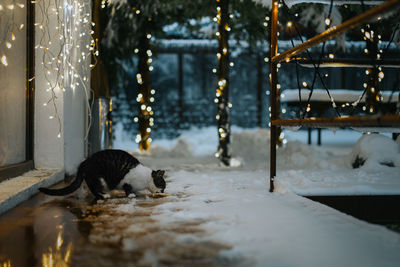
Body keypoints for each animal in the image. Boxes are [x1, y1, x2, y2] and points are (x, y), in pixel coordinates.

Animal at [38, 150, 166, 200]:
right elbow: (128, 188)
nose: (163, 192)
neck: (146, 179)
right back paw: (104, 195)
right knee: (94, 188)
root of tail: (84, 163)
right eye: (162, 185)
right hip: (98, 177)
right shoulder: (127, 181)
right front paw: (131, 195)